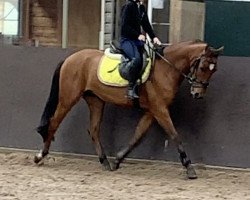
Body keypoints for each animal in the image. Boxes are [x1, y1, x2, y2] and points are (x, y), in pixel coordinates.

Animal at [34, 39, 224, 179]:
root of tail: (70, 58)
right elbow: (175, 135)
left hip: (95, 100)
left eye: (214, 70)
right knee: (54, 123)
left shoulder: (152, 111)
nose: (198, 94)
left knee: (93, 130)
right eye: (202, 67)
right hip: (68, 98)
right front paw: (189, 168)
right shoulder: (160, 109)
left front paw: (117, 160)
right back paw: (40, 156)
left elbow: (137, 136)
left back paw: (105, 162)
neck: (166, 68)